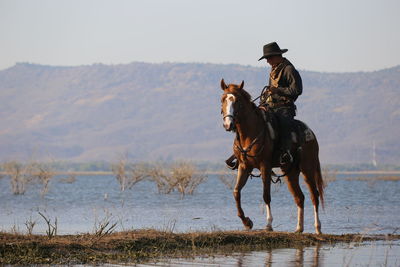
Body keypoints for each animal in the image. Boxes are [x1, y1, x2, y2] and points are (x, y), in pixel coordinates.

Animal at [219, 79, 324, 234]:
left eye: (237, 101)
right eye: (222, 99)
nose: (228, 124)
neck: (250, 132)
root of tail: (311, 133)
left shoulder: (265, 166)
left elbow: (266, 195)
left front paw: (268, 224)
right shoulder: (244, 166)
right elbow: (236, 191)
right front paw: (247, 222)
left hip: (308, 168)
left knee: (314, 195)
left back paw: (317, 228)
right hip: (290, 172)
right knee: (299, 197)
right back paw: (299, 228)